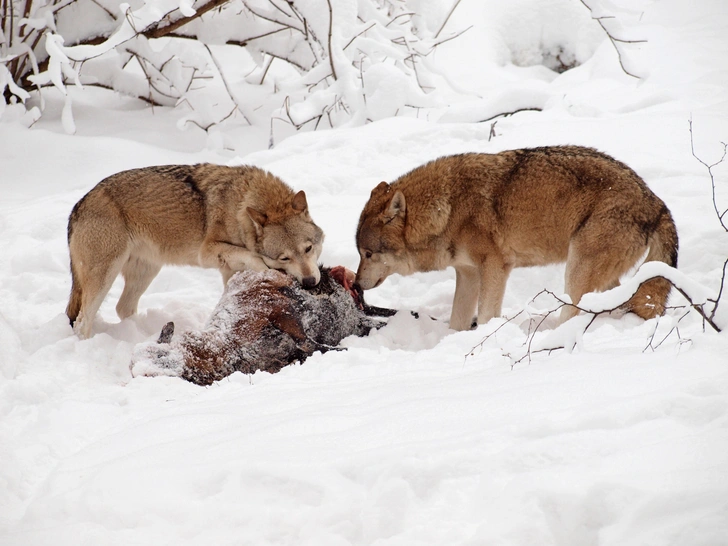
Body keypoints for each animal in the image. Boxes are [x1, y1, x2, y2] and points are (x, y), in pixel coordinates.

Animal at [66, 164, 324, 338]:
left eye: (308, 248)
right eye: (284, 257)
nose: (310, 282)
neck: (241, 205)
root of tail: (78, 206)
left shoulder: (227, 270)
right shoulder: (207, 252)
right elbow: (253, 256)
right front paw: (265, 270)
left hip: (146, 272)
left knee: (123, 308)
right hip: (106, 276)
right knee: (81, 322)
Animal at [356, 144, 680, 330]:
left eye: (368, 254)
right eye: (360, 254)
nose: (356, 284)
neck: (448, 208)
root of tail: (656, 202)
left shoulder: (495, 267)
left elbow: (487, 315)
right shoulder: (468, 273)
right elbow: (457, 321)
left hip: (576, 270)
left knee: (575, 312)